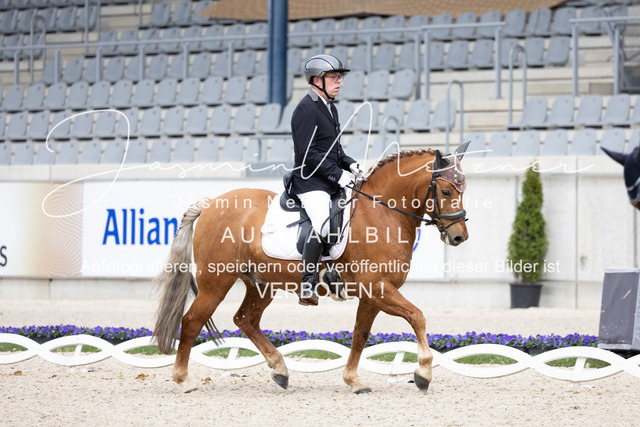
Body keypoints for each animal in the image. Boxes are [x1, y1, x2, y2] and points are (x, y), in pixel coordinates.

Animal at [153, 142, 470, 394]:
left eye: (462, 191)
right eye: (445, 191)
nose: (459, 237)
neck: (381, 213)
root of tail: (209, 204)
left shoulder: (372, 295)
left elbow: (360, 334)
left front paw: (354, 381)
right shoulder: (379, 288)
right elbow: (417, 316)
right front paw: (423, 373)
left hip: (261, 284)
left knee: (245, 319)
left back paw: (280, 370)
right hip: (216, 282)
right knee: (192, 321)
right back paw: (184, 380)